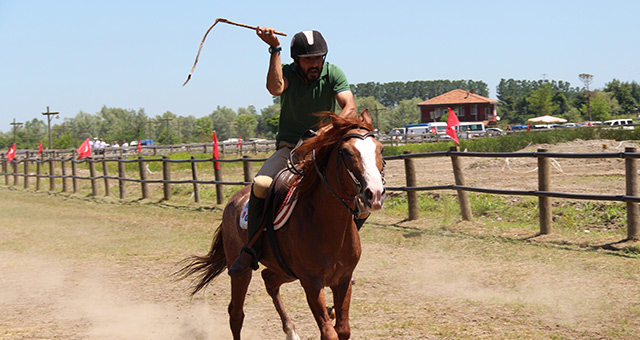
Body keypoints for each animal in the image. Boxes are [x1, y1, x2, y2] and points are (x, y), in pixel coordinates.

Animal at [178, 110, 382, 338]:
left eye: (380, 149)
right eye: (346, 152)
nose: (374, 193)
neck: (330, 227)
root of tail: (233, 201)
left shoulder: (343, 280)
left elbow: (343, 330)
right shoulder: (312, 283)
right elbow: (329, 332)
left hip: (286, 270)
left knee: (268, 279)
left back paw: (291, 330)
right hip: (240, 269)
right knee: (236, 313)